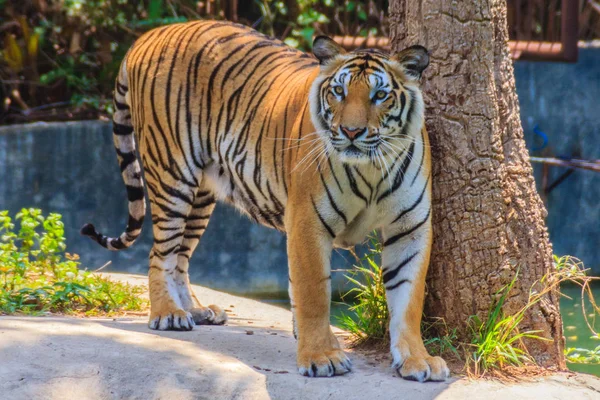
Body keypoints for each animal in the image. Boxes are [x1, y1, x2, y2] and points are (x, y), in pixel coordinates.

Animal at [82, 19, 450, 382]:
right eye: (339, 92)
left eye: (380, 95)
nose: (351, 132)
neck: (372, 168)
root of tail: (151, 34)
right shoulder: (308, 221)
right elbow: (313, 293)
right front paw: (321, 356)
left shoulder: (410, 227)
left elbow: (409, 297)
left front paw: (418, 359)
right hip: (172, 174)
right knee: (160, 253)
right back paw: (168, 313)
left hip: (201, 195)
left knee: (180, 256)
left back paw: (196, 310)